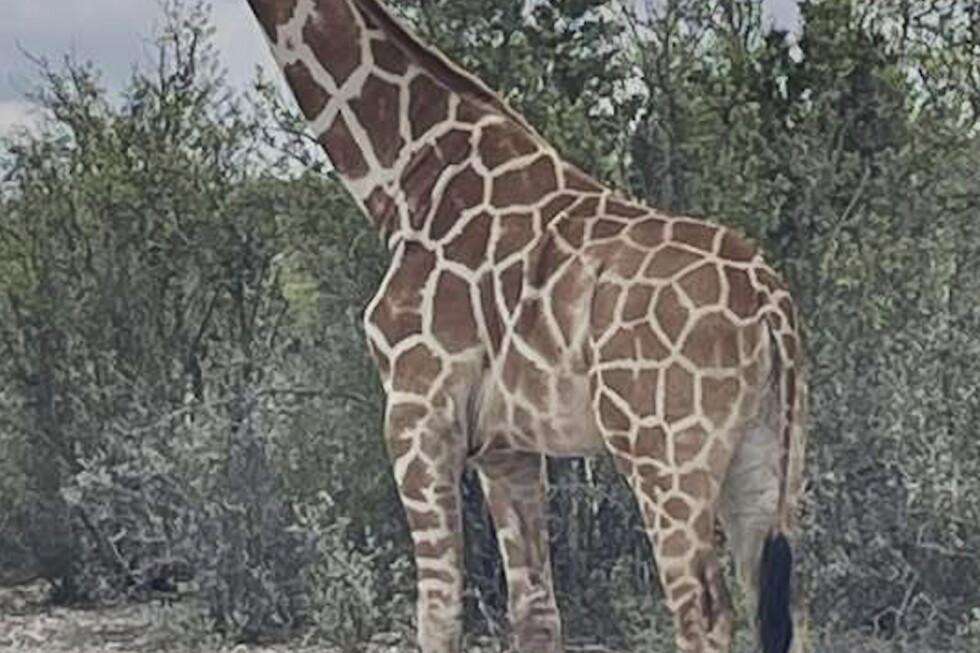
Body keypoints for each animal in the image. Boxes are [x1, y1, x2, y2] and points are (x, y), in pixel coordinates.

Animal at [244, 1, 808, 652]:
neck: (408, 177)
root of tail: (770, 303)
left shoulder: (416, 413)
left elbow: (437, 614)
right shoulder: (506, 446)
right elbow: (536, 611)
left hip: (666, 455)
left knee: (703, 613)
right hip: (769, 455)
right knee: (783, 607)